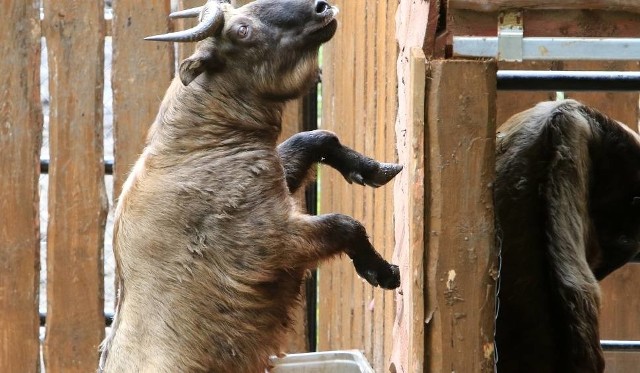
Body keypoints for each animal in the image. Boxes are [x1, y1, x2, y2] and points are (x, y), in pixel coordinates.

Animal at [99, 0, 400, 372]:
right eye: (242, 30)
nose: (321, 7)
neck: (197, 146)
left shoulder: (277, 184)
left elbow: (316, 138)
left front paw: (372, 170)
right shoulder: (275, 245)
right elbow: (346, 224)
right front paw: (382, 272)